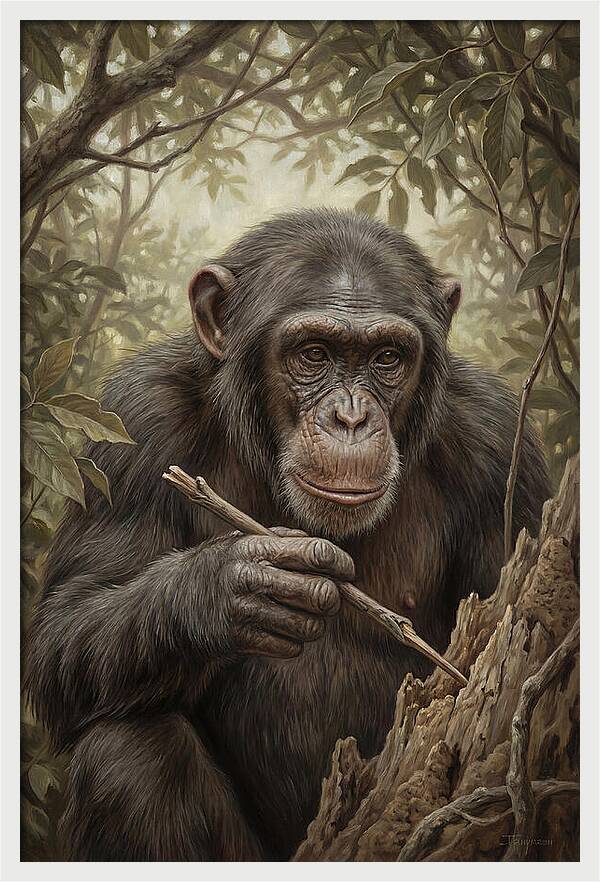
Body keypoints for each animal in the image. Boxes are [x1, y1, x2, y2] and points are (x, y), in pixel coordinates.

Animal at [25, 209, 549, 861]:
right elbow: (63, 629)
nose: (350, 417)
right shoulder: (135, 421)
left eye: (387, 359)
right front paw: (233, 588)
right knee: (128, 753)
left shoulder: (501, 449)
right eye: (313, 354)